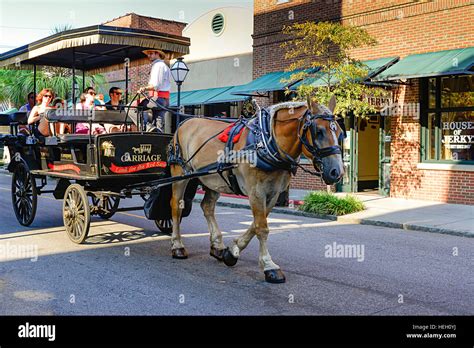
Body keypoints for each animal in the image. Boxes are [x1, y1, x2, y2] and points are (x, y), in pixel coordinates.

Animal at [167, 96, 344, 282]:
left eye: (340, 132)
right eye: (318, 131)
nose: (337, 172)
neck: (267, 143)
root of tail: (185, 122)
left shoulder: (273, 193)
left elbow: (256, 224)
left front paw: (232, 252)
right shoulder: (256, 191)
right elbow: (262, 228)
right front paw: (269, 265)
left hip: (214, 180)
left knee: (207, 207)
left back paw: (217, 246)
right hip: (180, 174)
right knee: (176, 206)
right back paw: (177, 246)